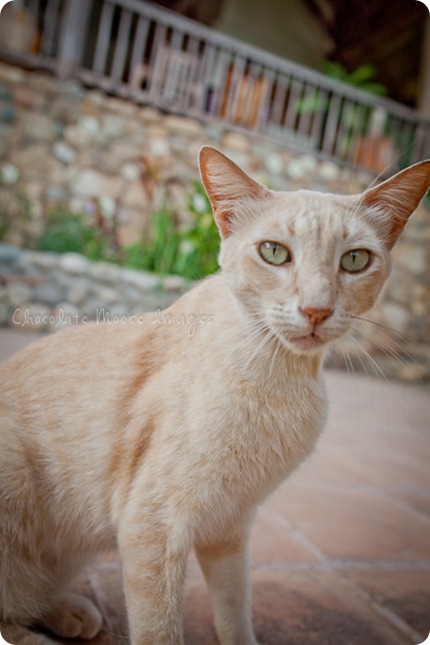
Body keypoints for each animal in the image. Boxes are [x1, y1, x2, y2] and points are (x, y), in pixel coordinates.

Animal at [0, 148, 428, 644]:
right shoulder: (153, 527)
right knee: (12, 607)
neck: (281, 377)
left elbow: (235, 613)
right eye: (274, 252)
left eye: (355, 260)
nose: (316, 310)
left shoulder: (230, 528)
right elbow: (159, 630)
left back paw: (72, 612)